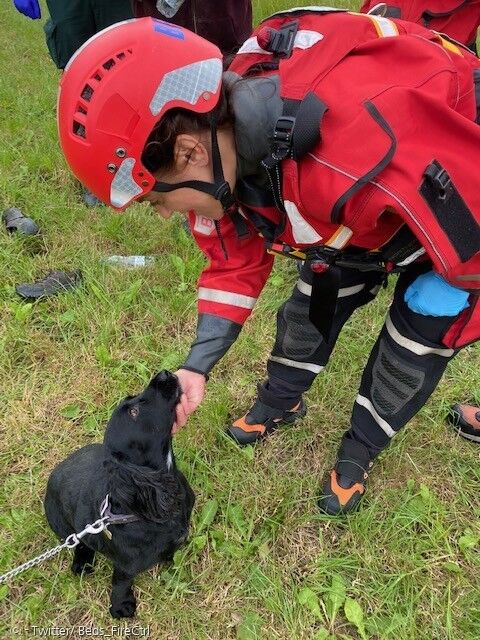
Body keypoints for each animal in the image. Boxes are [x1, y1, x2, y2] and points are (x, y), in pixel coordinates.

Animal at [44, 372, 194, 616]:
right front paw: (121, 606)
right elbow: (121, 581)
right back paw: (82, 563)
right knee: (79, 543)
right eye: (134, 412)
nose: (163, 373)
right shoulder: (125, 566)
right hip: (62, 526)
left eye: (133, 399)